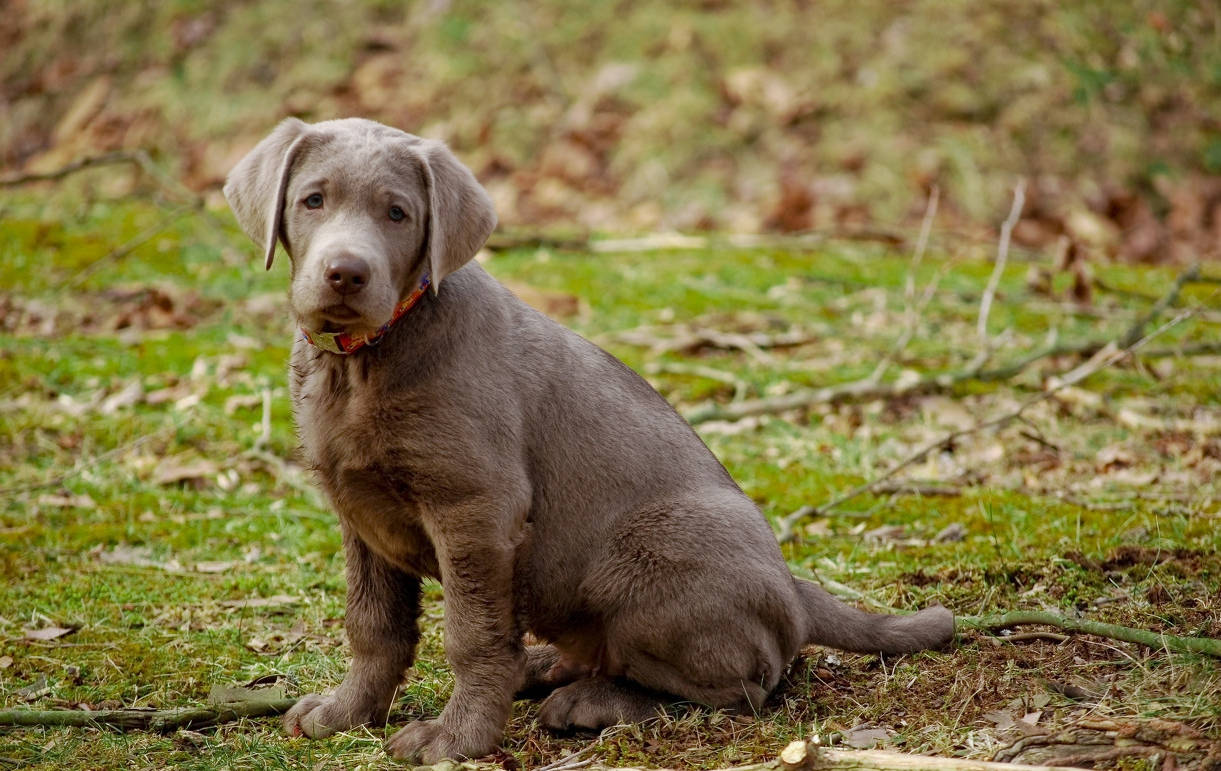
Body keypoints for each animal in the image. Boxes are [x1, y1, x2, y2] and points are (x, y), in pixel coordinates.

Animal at [227, 117, 952, 762]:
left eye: (398, 214)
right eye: (312, 199)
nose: (346, 273)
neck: (361, 361)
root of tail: (791, 586)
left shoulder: (475, 510)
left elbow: (470, 634)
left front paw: (457, 739)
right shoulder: (361, 512)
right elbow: (374, 626)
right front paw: (346, 713)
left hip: (642, 558)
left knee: (747, 685)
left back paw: (594, 701)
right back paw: (544, 664)